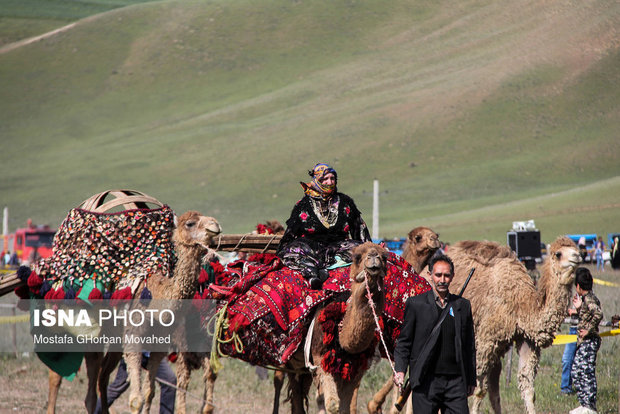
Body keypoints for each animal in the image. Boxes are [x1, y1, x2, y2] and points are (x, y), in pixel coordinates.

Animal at [286, 243, 388, 414]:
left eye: (385, 256)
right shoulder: (321, 358)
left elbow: (345, 406)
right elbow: (332, 404)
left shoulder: (354, 369)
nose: (374, 256)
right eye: (357, 257)